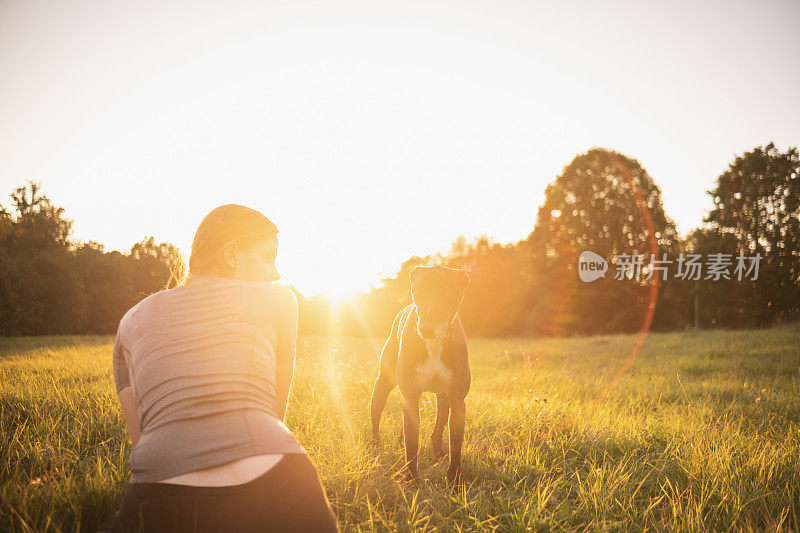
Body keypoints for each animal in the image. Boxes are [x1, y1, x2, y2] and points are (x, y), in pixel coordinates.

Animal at [372, 266, 472, 482]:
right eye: (419, 292)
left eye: (446, 294)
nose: (426, 329)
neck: (434, 343)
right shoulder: (411, 399)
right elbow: (411, 445)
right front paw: (411, 481)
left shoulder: (457, 401)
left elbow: (456, 445)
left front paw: (454, 480)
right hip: (382, 383)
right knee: (375, 413)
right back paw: (375, 444)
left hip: (444, 398)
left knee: (438, 427)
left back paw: (439, 452)